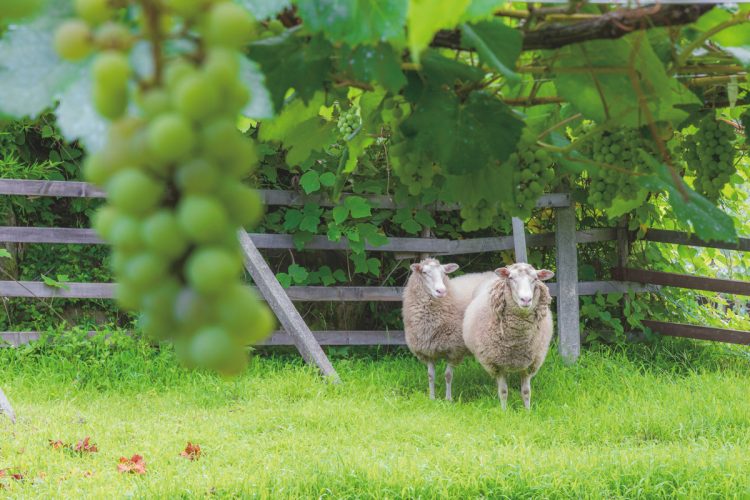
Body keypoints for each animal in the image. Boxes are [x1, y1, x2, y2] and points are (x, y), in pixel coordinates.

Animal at [402, 260, 496, 400]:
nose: (441, 291)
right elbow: (430, 376)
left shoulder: (455, 350)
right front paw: (432, 397)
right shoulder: (427, 351)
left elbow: (448, 375)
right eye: (424, 272)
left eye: (443, 273)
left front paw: (448, 399)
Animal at [464, 262, 560, 410]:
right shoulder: (497, 365)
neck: (517, 341)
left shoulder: (529, 364)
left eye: (535, 279)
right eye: (511, 278)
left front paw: (527, 411)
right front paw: (504, 411)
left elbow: (526, 391)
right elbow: (503, 391)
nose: (526, 299)